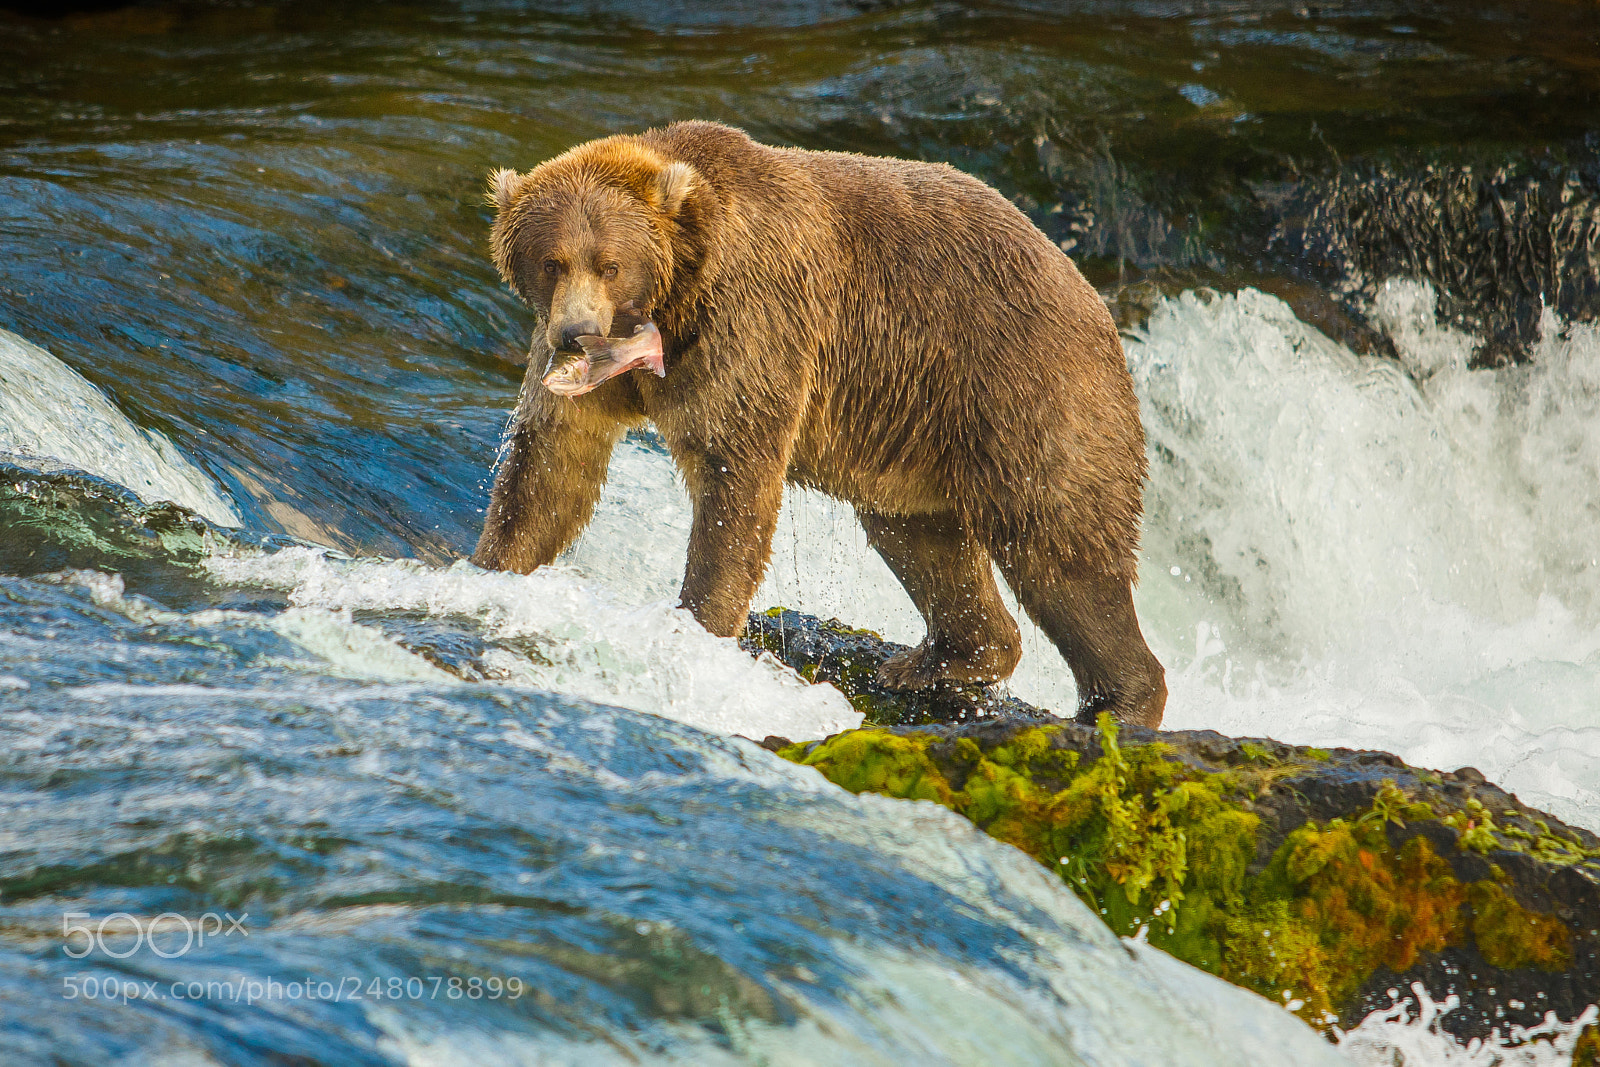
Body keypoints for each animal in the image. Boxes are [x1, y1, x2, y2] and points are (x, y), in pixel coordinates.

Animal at [473, 121, 1167, 727]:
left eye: (609, 263)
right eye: (551, 261)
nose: (577, 331)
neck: (672, 301)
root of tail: (1095, 300)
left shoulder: (752, 319)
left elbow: (733, 478)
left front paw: (697, 628)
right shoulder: (586, 375)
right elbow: (550, 467)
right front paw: (493, 569)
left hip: (1021, 389)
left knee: (1059, 545)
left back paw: (1120, 703)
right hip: (912, 436)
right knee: (920, 538)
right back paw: (932, 662)